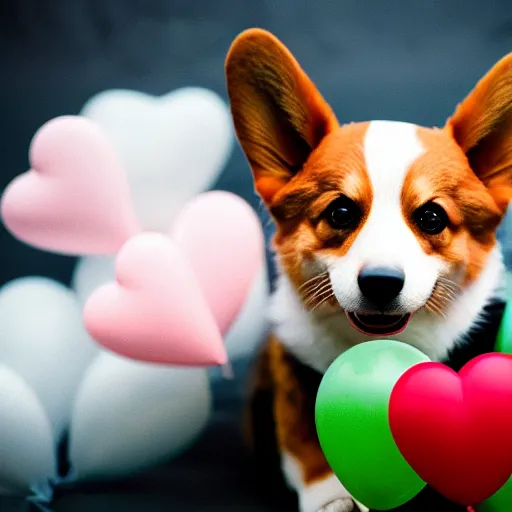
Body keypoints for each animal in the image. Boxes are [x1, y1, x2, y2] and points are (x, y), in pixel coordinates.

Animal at [225, 27, 512, 512]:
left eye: (432, 217)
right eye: (340, 212)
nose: (381, 283)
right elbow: (306, 440)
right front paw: (331, 495)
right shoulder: (293, 365)